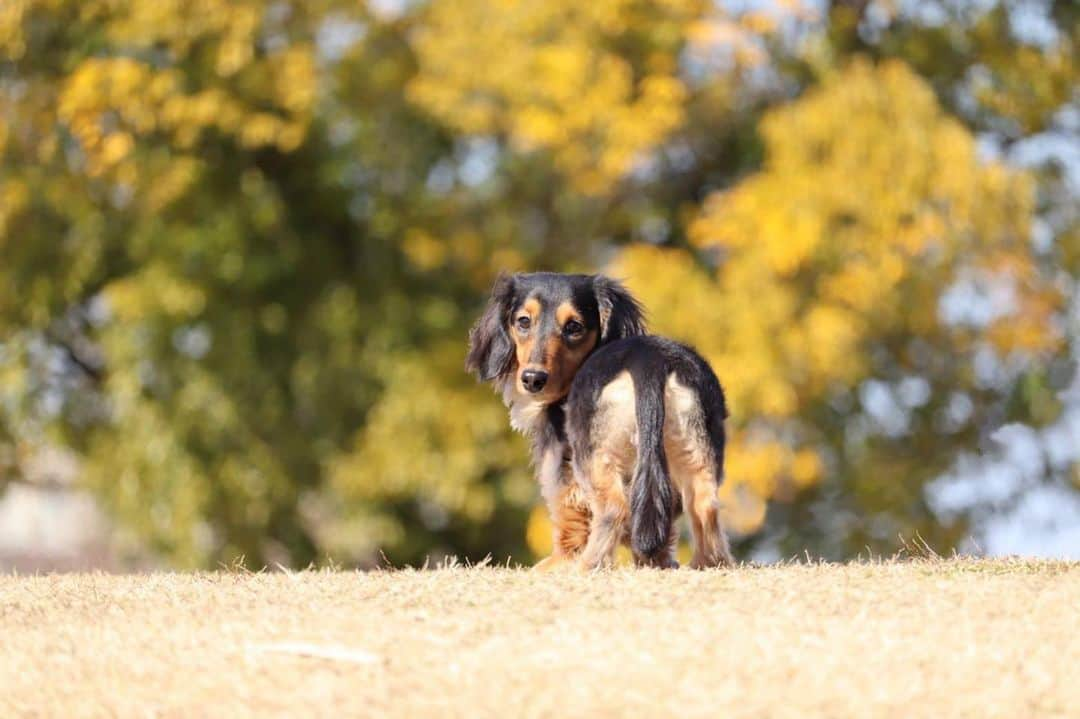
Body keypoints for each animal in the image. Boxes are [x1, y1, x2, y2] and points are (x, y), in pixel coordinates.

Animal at [464, 272, 734, 570]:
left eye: (574, 327)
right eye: (523, 321)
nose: (533, 379)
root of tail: (648, 360)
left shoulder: (561, 469)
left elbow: (567, 522)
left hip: (594, 457)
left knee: (614, 509)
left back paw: (587, 565)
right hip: (696, 449)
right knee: (705, 507)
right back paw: (707, 563)